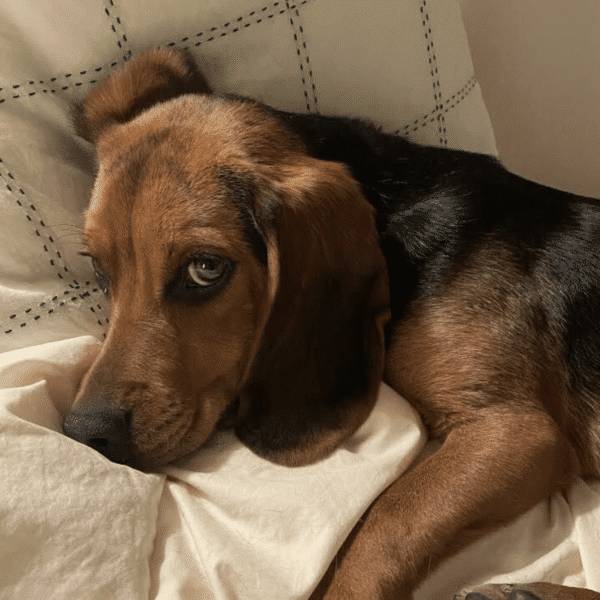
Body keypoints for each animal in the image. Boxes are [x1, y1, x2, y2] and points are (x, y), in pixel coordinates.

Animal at [63, 48, 600, 600]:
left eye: (205, 269)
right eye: (98, 267)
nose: (86, 434)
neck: (395, 225)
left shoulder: (513, 429)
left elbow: (387, 523)